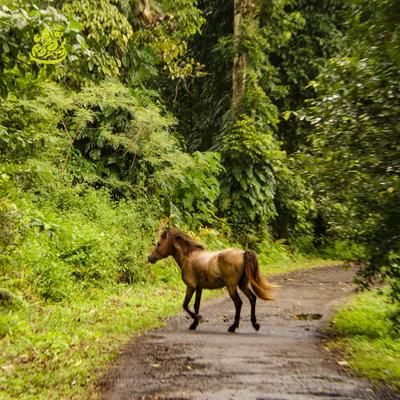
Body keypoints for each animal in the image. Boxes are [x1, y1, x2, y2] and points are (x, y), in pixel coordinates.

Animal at [148, 227, 276, 332]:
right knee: (252, 298)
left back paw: (233, 327)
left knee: (239, 303)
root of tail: (243, 253)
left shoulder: (191, 286)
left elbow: (185, 305)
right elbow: (196, 305)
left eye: (158, 244)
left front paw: (198, 318)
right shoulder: (199, 288)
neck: (189, 256)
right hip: (242, 284)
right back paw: (255, 324)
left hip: (231, 286)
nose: (150, 258)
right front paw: (194, 324)